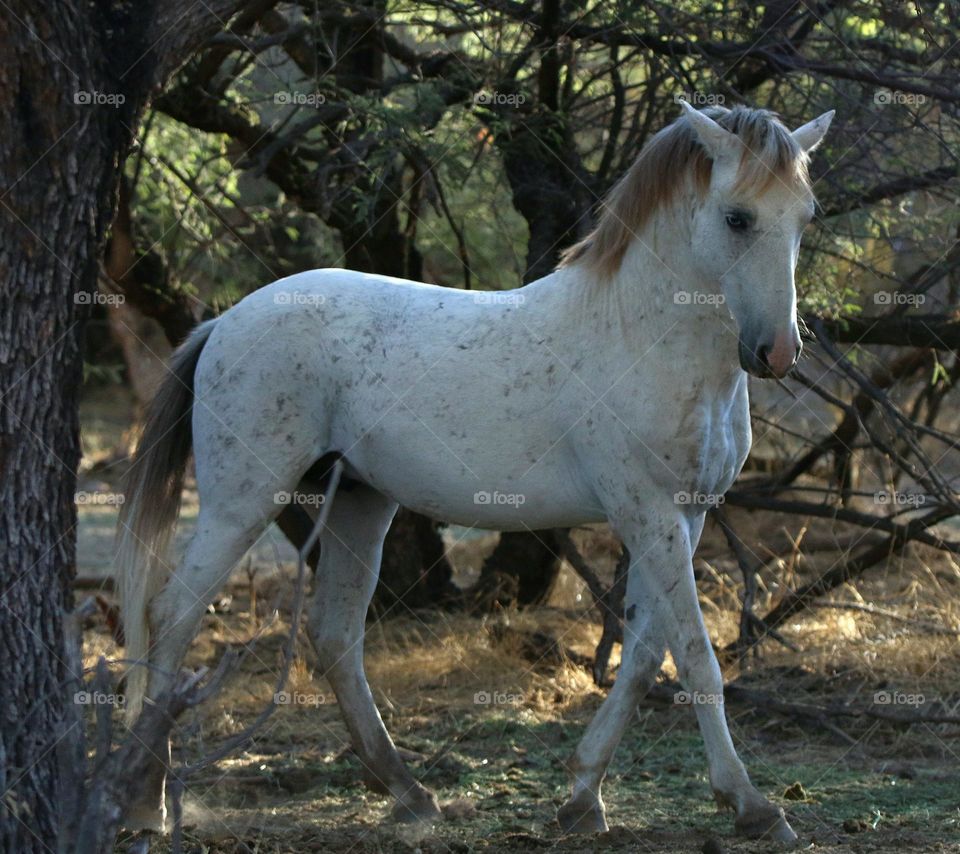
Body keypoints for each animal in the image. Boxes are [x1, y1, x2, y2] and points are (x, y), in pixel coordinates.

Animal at [117, 102, 833, 845]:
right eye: (737, 217)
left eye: (805, 216)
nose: (778, 352)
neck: (639, 334)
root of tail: (225, 320)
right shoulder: (647, 509)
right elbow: (695, 655)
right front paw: (752, 805)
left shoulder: (683, 515)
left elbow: (643, 656)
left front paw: (582, 797)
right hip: (242, 501)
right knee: (173, 614)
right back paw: (146, 806)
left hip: (360, 503)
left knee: (335, 635)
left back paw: (409, 793)